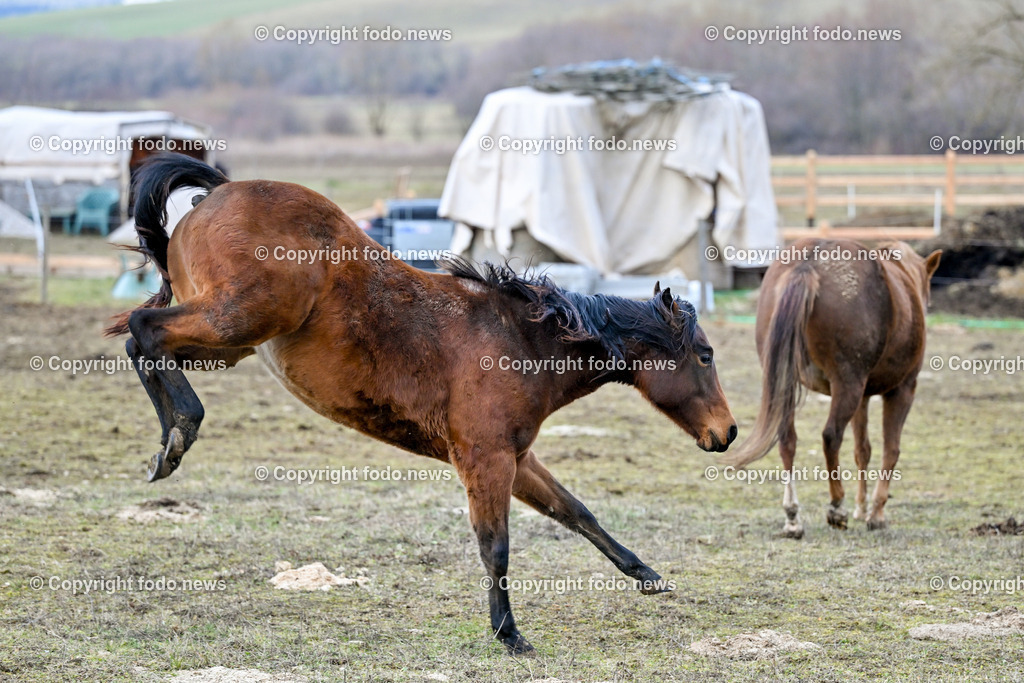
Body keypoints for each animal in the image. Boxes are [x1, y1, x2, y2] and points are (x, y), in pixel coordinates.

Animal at [107, 153, 738, 654]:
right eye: (706, 355)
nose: (727, 432)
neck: (522, 340)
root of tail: (214, 196)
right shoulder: (486, 461)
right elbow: (496, 547)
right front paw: (509, 634)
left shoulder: (517, 459)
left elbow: (576, 511)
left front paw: (647, 575)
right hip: (236, 320)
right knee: (143, 330)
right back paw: (179, 434)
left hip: (231, 343)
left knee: (144, 341)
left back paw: (168, 443)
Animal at [721, 238, 941, 538]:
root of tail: (809, 263)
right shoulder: (902, 390)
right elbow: (891, 450)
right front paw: (876, 514)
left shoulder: (863, 397)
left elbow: (862, 450)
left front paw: (862, 508)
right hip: (847, 385)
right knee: (831, 436)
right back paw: (837, 507)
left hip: (790, 384)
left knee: (787, 440)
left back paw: (793, 516)